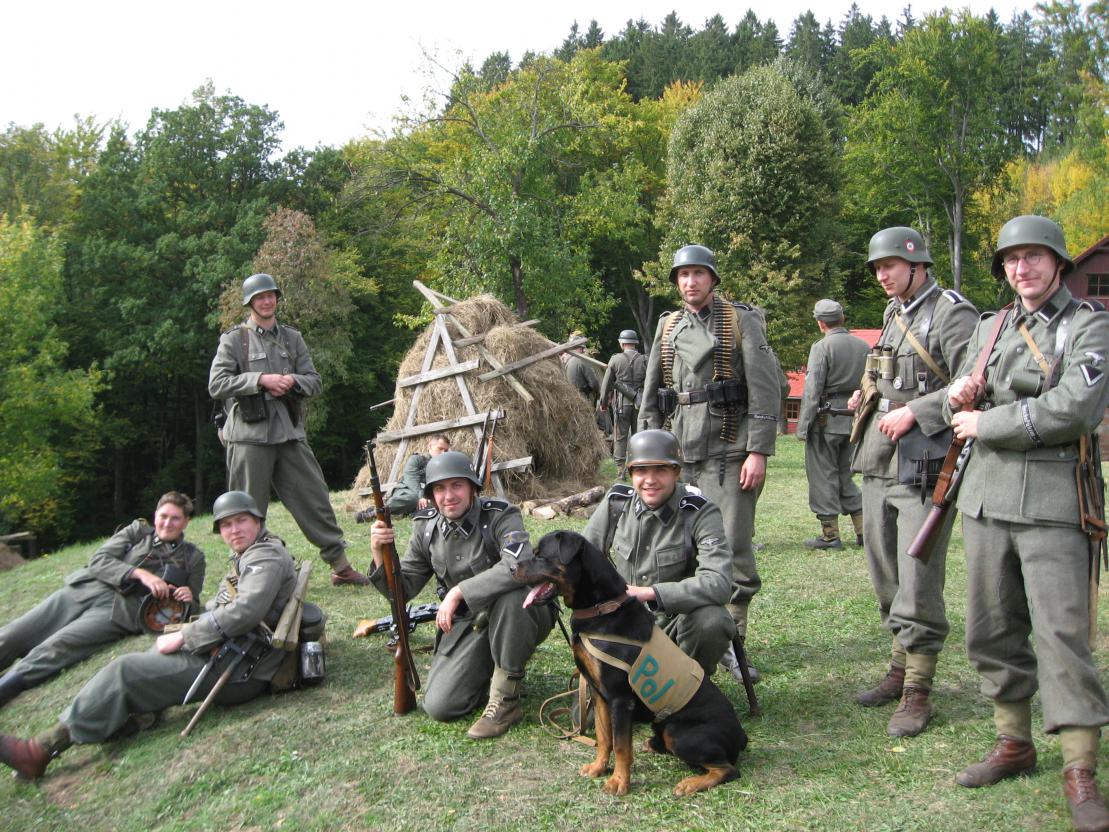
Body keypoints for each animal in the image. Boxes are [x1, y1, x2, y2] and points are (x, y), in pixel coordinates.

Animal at [515, 530, 746, 796]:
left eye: (541, 556)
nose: (511, 568)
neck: (601, 610)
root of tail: (741, 735)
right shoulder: (599, 694)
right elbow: (604, 736)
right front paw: (598, 768)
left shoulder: (620, 698)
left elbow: (621, 745)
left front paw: (619, 782)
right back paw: (653, 744)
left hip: (680, 733)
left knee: (727, 769)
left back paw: (690, 783)